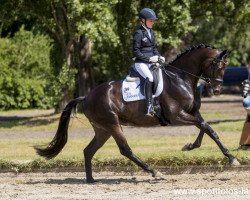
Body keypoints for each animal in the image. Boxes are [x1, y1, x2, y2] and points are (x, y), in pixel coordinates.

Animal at [35, 43, 240, 183]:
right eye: (218, 66)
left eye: (225, 67)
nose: (217, 90)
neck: (180, 78)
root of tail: (87, 96)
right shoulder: (176, 116)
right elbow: (205, 127)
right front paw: (231, 158)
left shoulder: (193, 112)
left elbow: (207, 129)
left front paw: (193, 147)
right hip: (112, 124)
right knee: (125, 150)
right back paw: (154, 172)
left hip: (103, 129)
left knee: (89, 150)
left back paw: (91, 180)